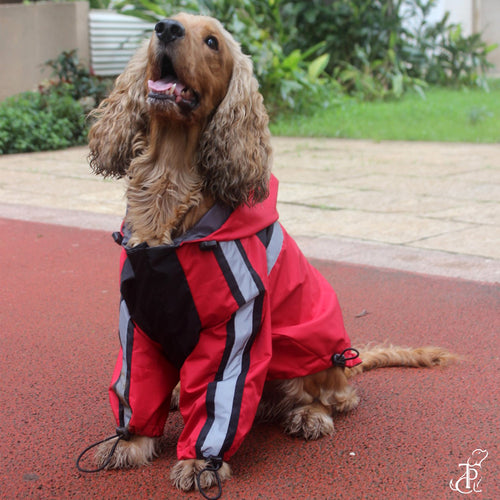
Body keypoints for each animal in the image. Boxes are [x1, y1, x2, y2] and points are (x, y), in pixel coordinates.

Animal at [87, 13, 458, 494]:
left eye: (212, 41)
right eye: (163, 25)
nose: (165, 28)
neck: (169, 187)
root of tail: (348, 359)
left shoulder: (234, 328)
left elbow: (218, 404)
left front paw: (201, 462)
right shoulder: (139, 320)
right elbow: (136, 387)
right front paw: (129, 441)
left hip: (311, 349)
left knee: (338, 399)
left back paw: (309, 416)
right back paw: (178, 396)